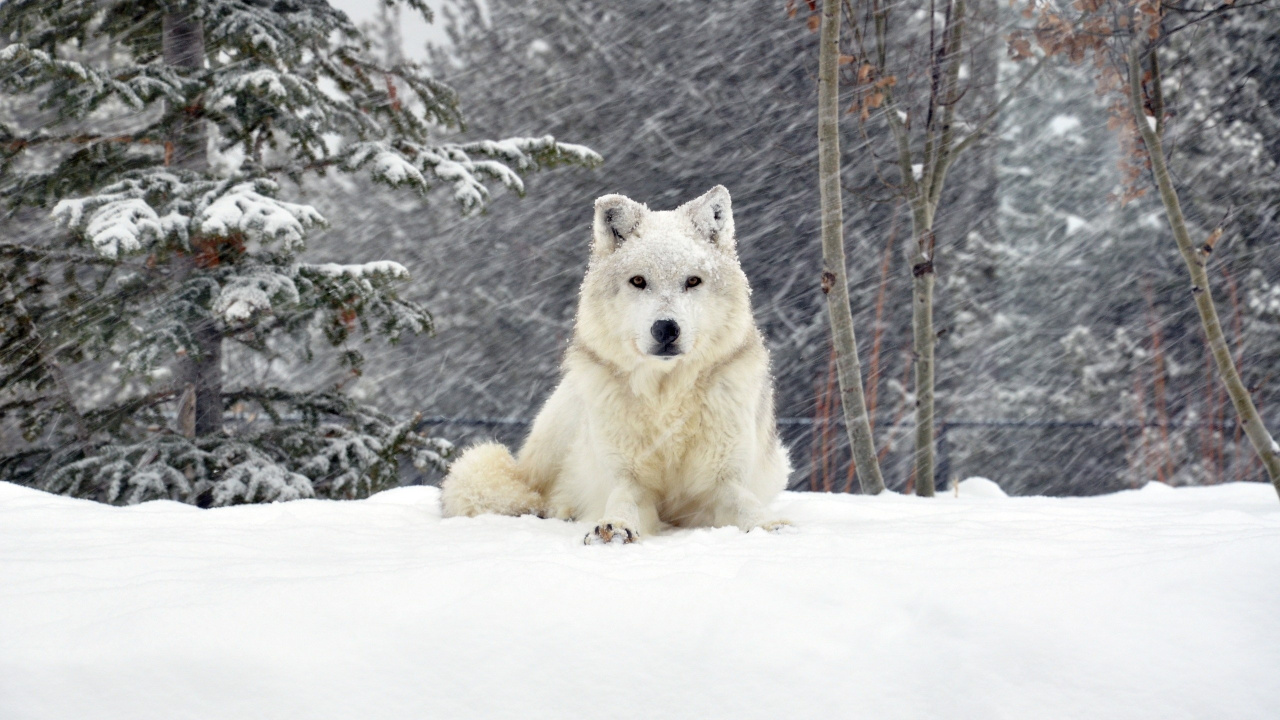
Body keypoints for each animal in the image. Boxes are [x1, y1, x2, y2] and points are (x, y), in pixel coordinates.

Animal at [440, 186, 791, 543]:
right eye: (638, 281)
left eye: (693, 281)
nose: (666, 329)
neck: (666, 399)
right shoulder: (626, 477)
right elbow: (622, 500)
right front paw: (615, 527)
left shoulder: (723, 479)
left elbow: (746, 502)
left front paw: (768, 526)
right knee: (540, 493)